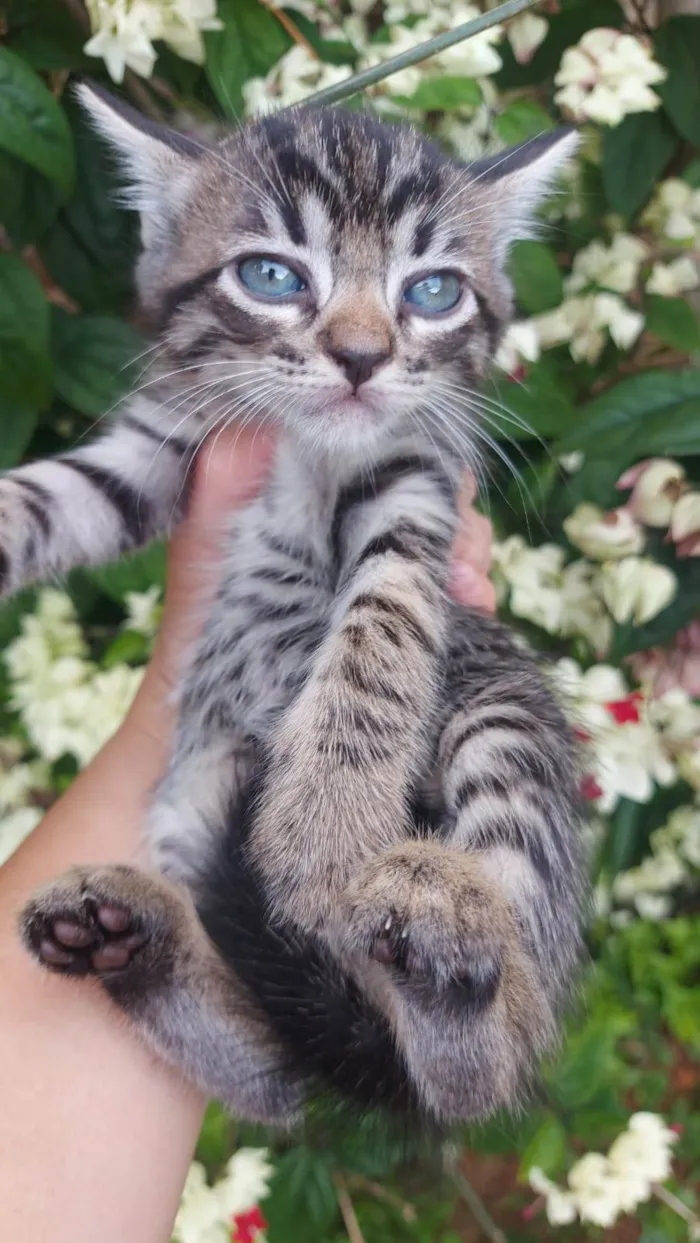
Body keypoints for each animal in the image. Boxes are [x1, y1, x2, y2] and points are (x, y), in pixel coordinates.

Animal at [17, 90, 586, 1128]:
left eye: (432, 292)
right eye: (272, 276)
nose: (361, 356)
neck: (300, 445)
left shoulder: (416, 480)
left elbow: (385, 619)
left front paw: (324, 824)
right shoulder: (159, 448)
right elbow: (53, 494)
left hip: (501, 708)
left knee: (475, 1069)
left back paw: (455, 970)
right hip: (194, 805)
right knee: (284, 1072)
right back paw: (128, 936)